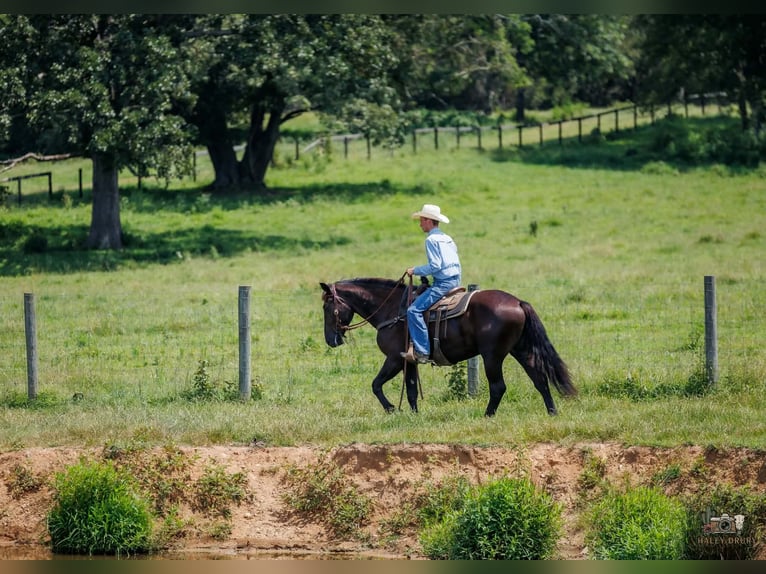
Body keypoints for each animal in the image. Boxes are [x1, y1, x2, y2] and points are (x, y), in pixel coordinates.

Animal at [319, 277, 577, 417]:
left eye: (326, 307)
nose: (331, 340)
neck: (392, 310)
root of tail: (517, 302)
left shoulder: (393, 358)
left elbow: (376, 384)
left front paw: (391, 408)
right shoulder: (409, 360)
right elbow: (411, 391)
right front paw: (413, 415)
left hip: (492, 356)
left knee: (498, 387)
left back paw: (487, 416)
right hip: (520, 350)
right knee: (539, 378)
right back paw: (552, 411)